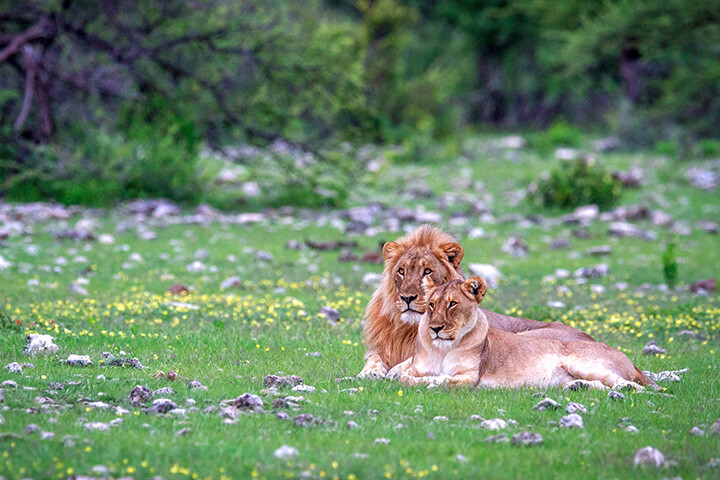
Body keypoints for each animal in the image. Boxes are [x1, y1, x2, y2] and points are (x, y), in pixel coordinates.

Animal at [358, 225, 592, 378]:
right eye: (401, 271)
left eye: (427, 271)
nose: (407, 298)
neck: (408, 327)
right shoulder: (380, 348)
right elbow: (373, 359)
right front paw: (369, 372)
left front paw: (397, 370)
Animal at [388, 278, 660, 390]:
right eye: (432, 305)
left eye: (453, 304)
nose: (434, 328)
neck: (443, 348)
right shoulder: (416, 367)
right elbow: (405, 377)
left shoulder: (469, 377)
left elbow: (443, 379)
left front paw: (435, 380)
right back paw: (578, 387)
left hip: (580, 361)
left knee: (626, 384)